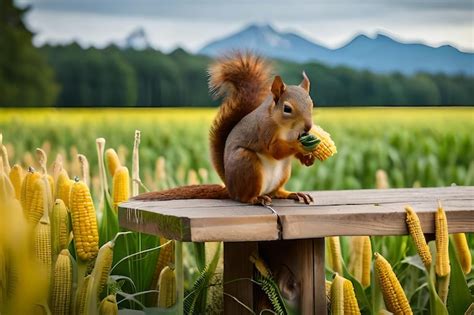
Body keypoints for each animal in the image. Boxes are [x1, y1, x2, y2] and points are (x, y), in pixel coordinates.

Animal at [133, 53, 316, 206]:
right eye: (287, 109)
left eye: (311, 104)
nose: (308, 127)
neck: (287, 129)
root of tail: (230, 188)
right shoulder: (264, 130)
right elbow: (275, 150)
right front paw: (299, 146)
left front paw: (308, 158)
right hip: (246, 162)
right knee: (246, 197)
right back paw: (256, 198)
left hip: (283, 170)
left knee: (276, 192)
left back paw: (292, 194)